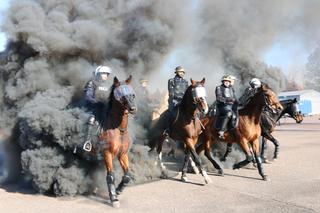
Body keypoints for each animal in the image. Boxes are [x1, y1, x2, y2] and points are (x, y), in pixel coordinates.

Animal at [99, 75, 136, 208]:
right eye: (121, 95)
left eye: (132, 94)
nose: (133, 109)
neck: (118, 130)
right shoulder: (107, 153)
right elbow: (111, 176)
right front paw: (114, 198)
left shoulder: (123, 154)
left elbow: (127, 175)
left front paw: (119, 190)